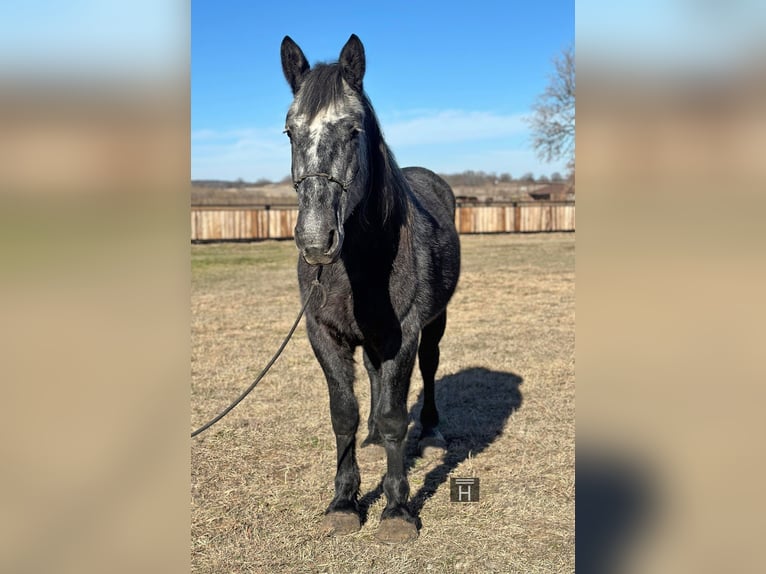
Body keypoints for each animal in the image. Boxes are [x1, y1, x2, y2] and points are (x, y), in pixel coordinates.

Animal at [282, 33, 462, 548]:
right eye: (289, 132)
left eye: (353, 130)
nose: (316, 240)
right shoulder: (325, 335)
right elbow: (344, 412)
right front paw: (344, 502)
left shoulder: (403, 335)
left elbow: (394, 415)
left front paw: (397, 510)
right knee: (375, 380)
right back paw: (374, 442)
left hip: (434, 325)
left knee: (427, 369)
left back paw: (431, 432)